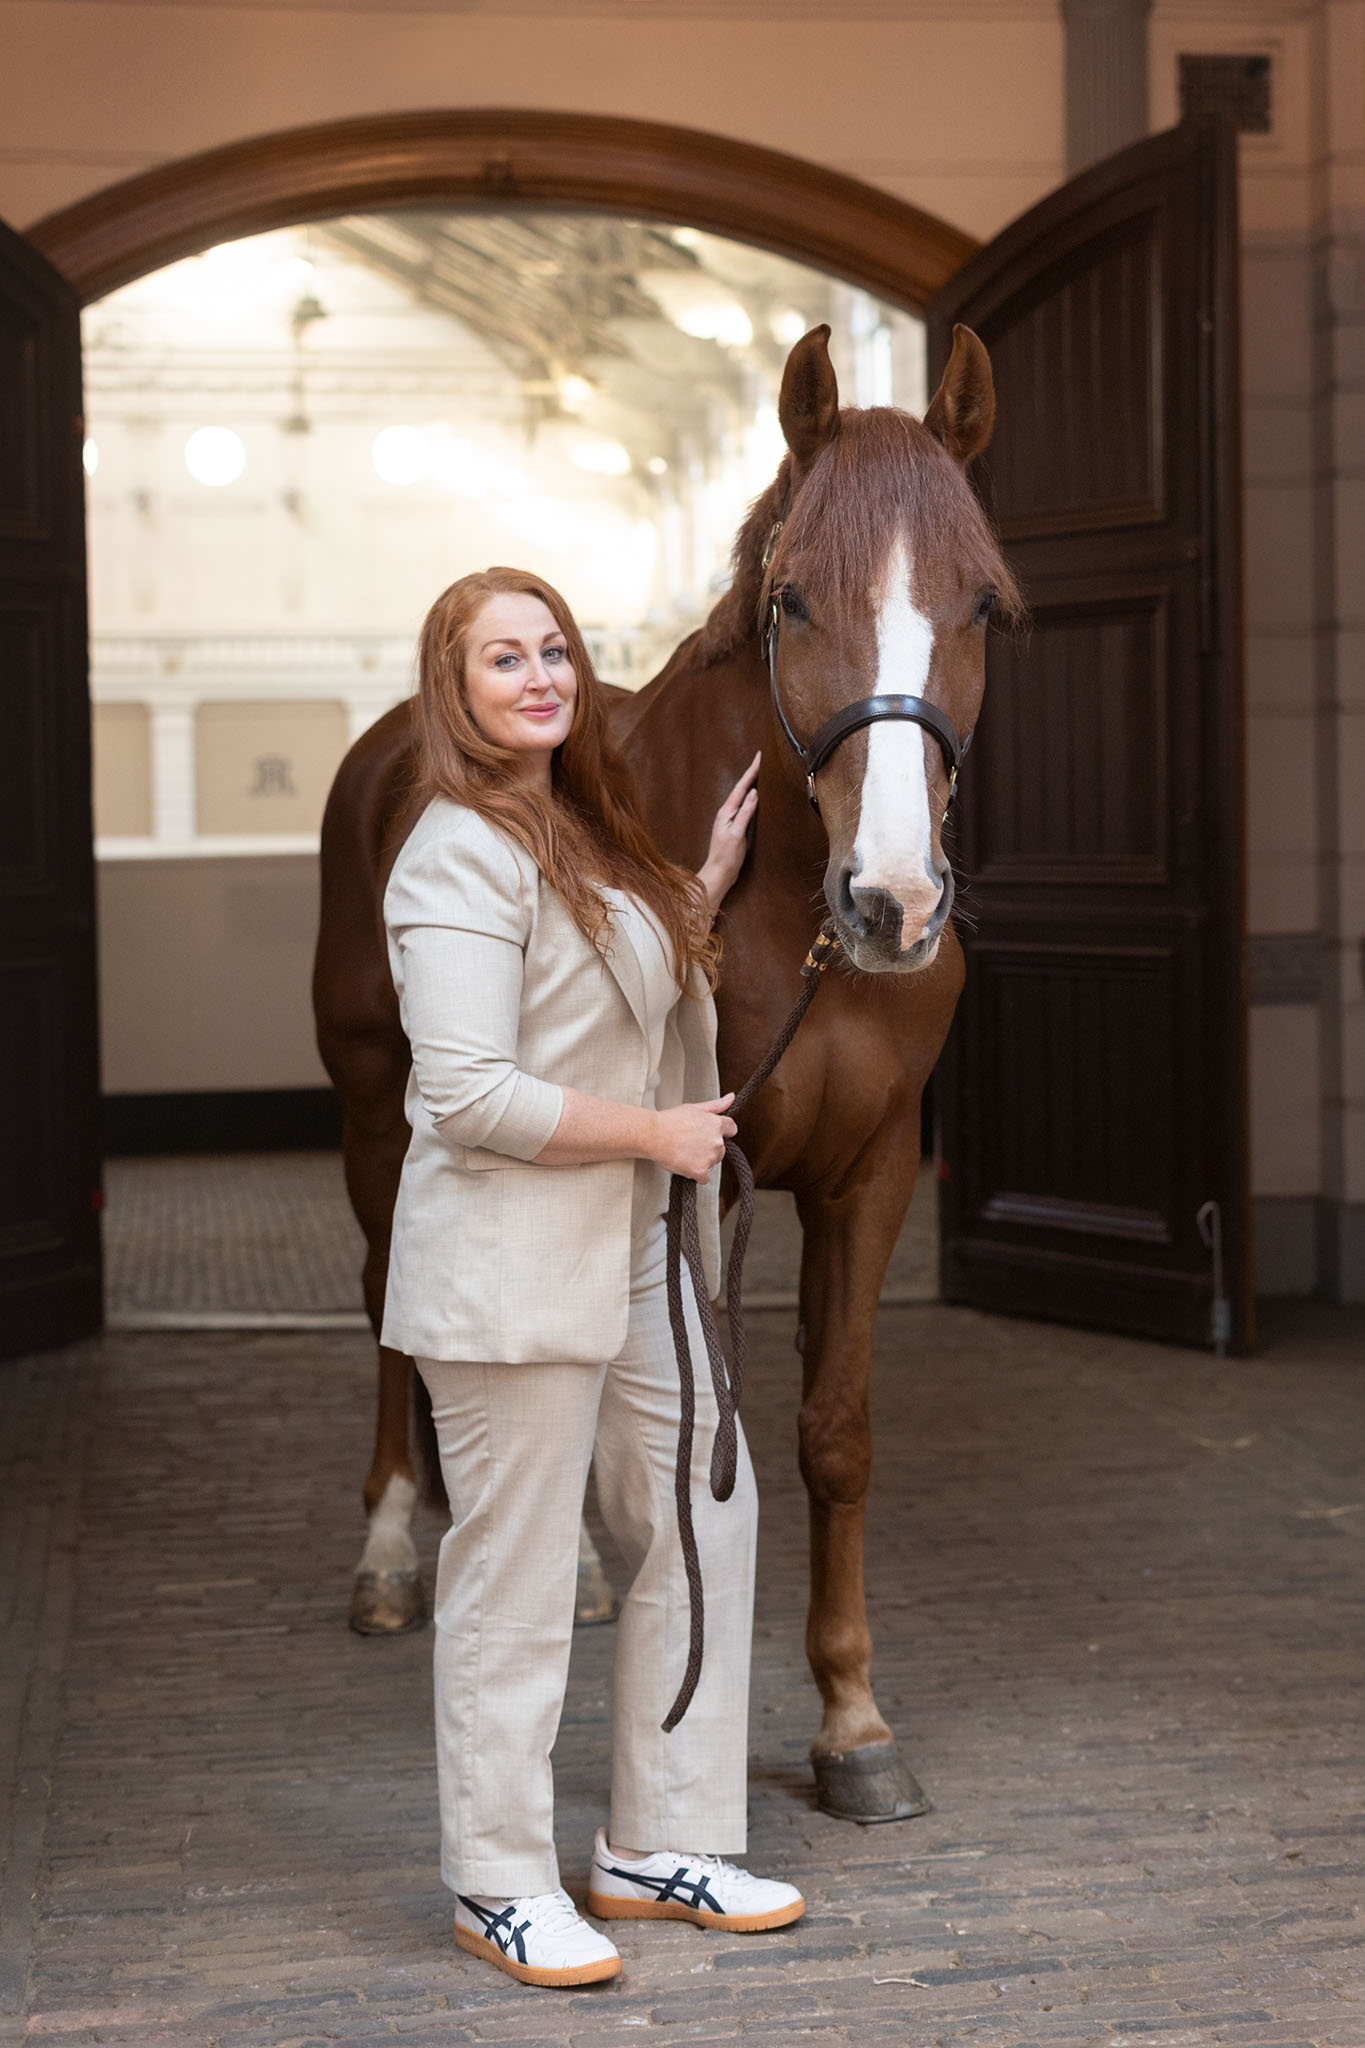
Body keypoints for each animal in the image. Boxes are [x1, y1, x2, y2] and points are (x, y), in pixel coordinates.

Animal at [312, 321, 1017, 1821]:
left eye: (983, 606)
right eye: (794, 601)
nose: (893, 903)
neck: (783, 902)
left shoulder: (869, 1173)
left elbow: (831, 1430)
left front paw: (853, 1723)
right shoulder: (702, 1165)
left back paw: (573, 1569)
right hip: (376, 1119)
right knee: (395, 1306)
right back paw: (393, 1549)